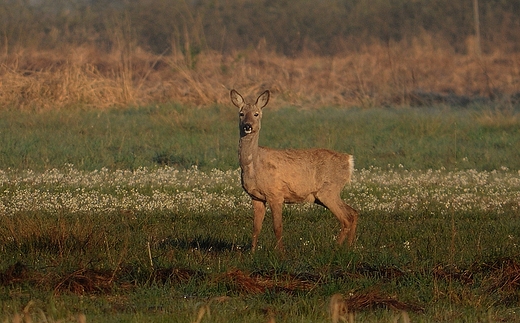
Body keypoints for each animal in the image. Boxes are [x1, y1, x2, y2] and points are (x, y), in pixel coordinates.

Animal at [231, 89, 358, 253]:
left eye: (256, 114)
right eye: (241, 113)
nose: (247, 126)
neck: (253, 165)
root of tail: (349, 161)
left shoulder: (276, 194)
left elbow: (277, 227)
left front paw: (281, 253)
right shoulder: (256, 197)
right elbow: (256, 228)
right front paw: (252, 253)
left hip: (329, 190)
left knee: (346, 218)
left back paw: (336, 247)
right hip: (323, 195)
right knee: (353, 213)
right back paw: (349, 247)